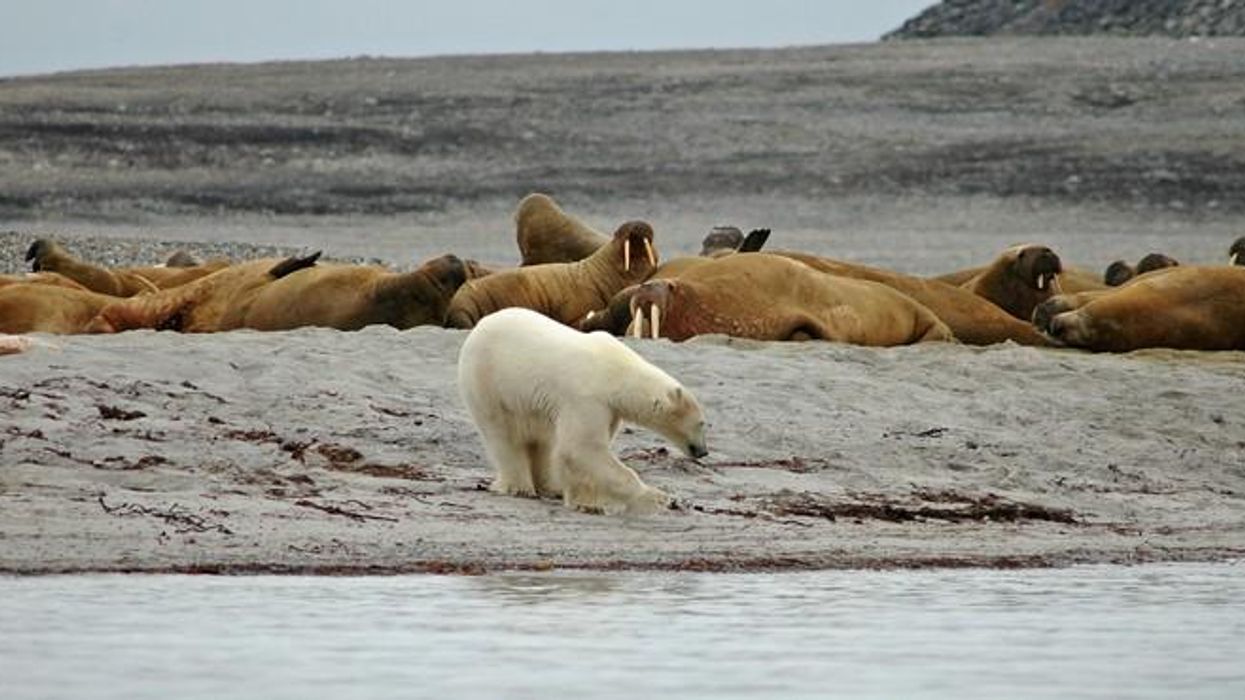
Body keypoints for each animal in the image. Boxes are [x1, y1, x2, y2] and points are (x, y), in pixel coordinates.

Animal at [456, 307, 708, 515]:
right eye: (701, 423)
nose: (703, 451)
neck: (617, 374)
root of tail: (479, 326)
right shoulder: (586, 397)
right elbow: (583, 447)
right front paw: (657, 498)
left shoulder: (609, 408)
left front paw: (584, 501)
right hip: (489, 384)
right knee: (504, 436)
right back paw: (519, 487)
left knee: (543, 441)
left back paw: (550, 486)